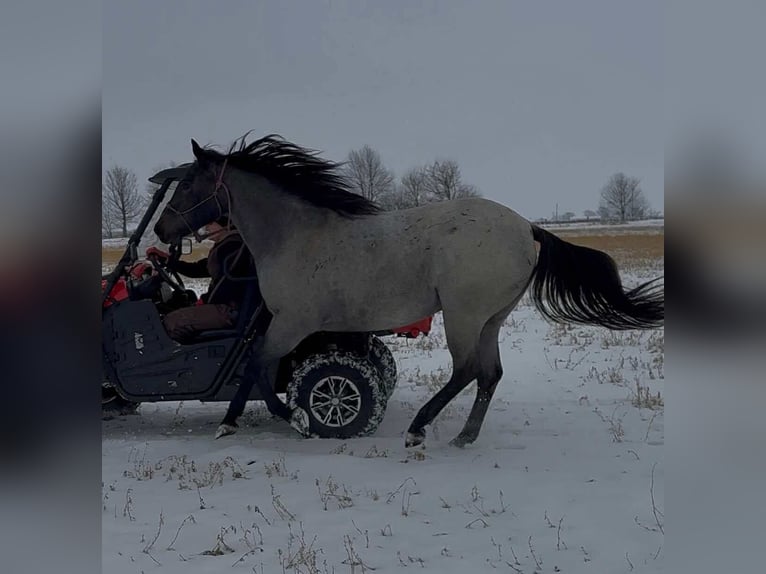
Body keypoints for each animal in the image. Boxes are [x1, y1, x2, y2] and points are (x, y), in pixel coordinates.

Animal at [154, 134, 663, 447]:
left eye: (188, 184)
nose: (161, 231)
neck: (298, 236)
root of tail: (527, 228)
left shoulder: (293, 323)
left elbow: (258, 363)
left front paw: (281, 418)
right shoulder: (285, 324)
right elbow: (255, 365)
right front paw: (234, 422)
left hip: (462, 315)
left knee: (467, 370)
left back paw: (419, 430)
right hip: (491, 319)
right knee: (490, 374)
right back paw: (464, 437)